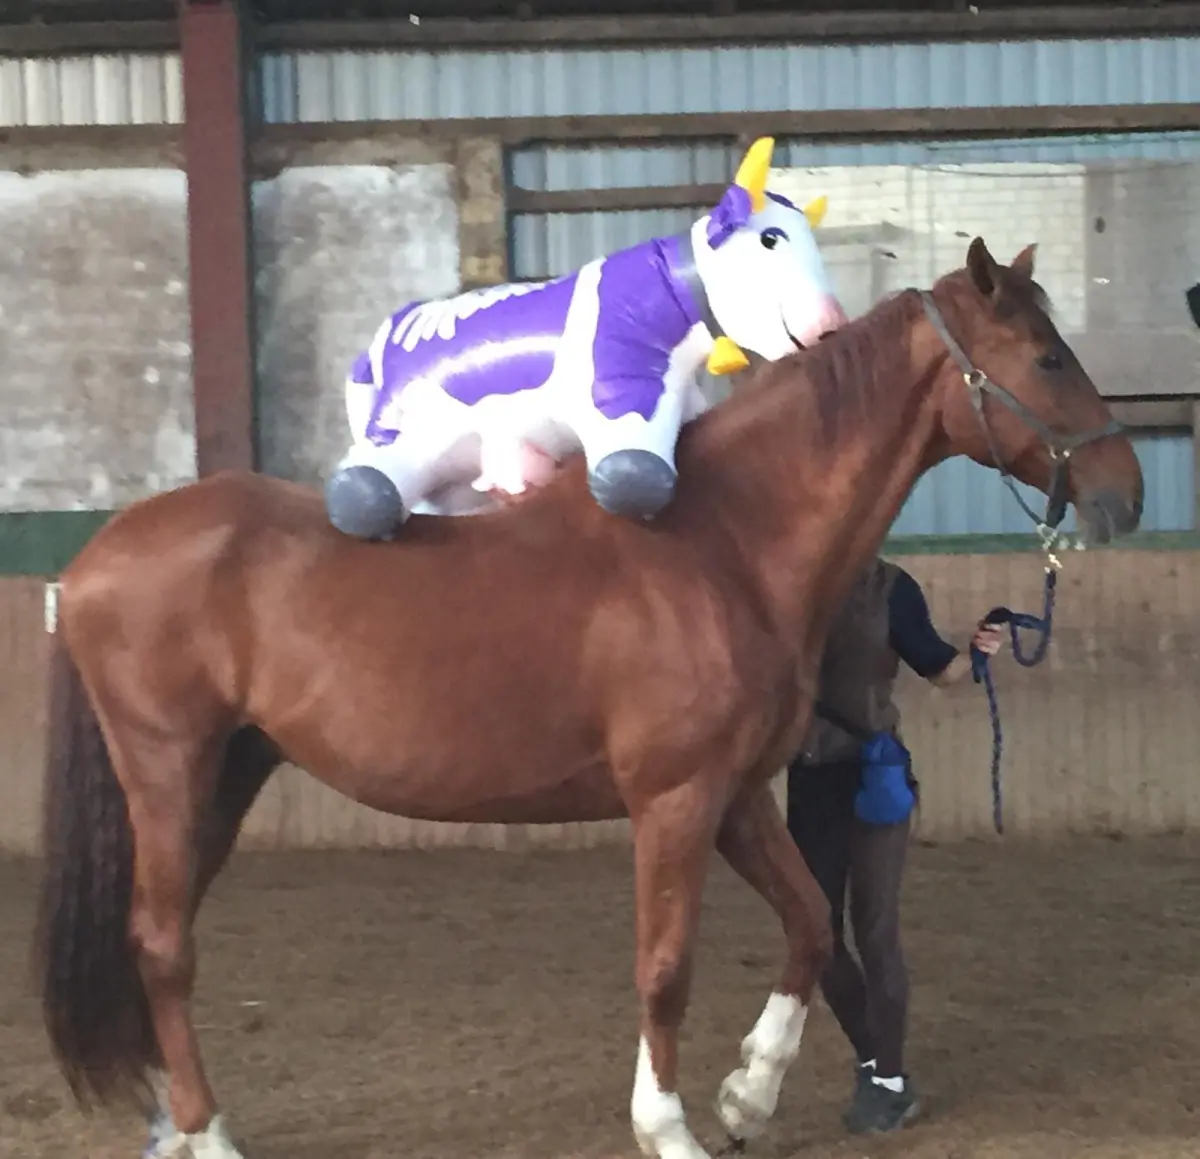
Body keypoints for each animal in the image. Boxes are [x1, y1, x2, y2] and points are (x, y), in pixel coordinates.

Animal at [35, 238, 1142, 1159]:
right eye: (1047, 358)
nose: (1124, 493)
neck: (724, 544)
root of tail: (91, 561)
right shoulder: (675, 801)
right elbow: (665, 965)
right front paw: (671, 1127)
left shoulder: (736, 798)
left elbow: (809, 924)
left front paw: (746, 1096)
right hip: (170, 772)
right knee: (163, 946)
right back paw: (204, 1132)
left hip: (226, 777)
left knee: (154, 944)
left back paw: (177, 1124)